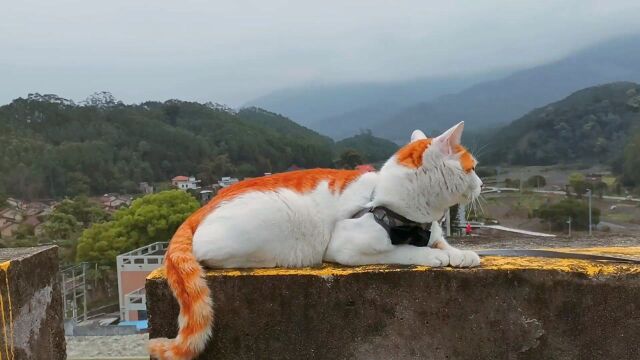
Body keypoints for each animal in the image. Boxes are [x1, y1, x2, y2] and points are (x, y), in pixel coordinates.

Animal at [149, 121, 480, 360]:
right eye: (473, 167)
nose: (480, 183)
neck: (411, 215)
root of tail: (204, 205)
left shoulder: (430, 230)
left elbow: (442, 241)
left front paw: (461, 254)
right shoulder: (347, 245)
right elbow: (404, 251)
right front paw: (432, 256)